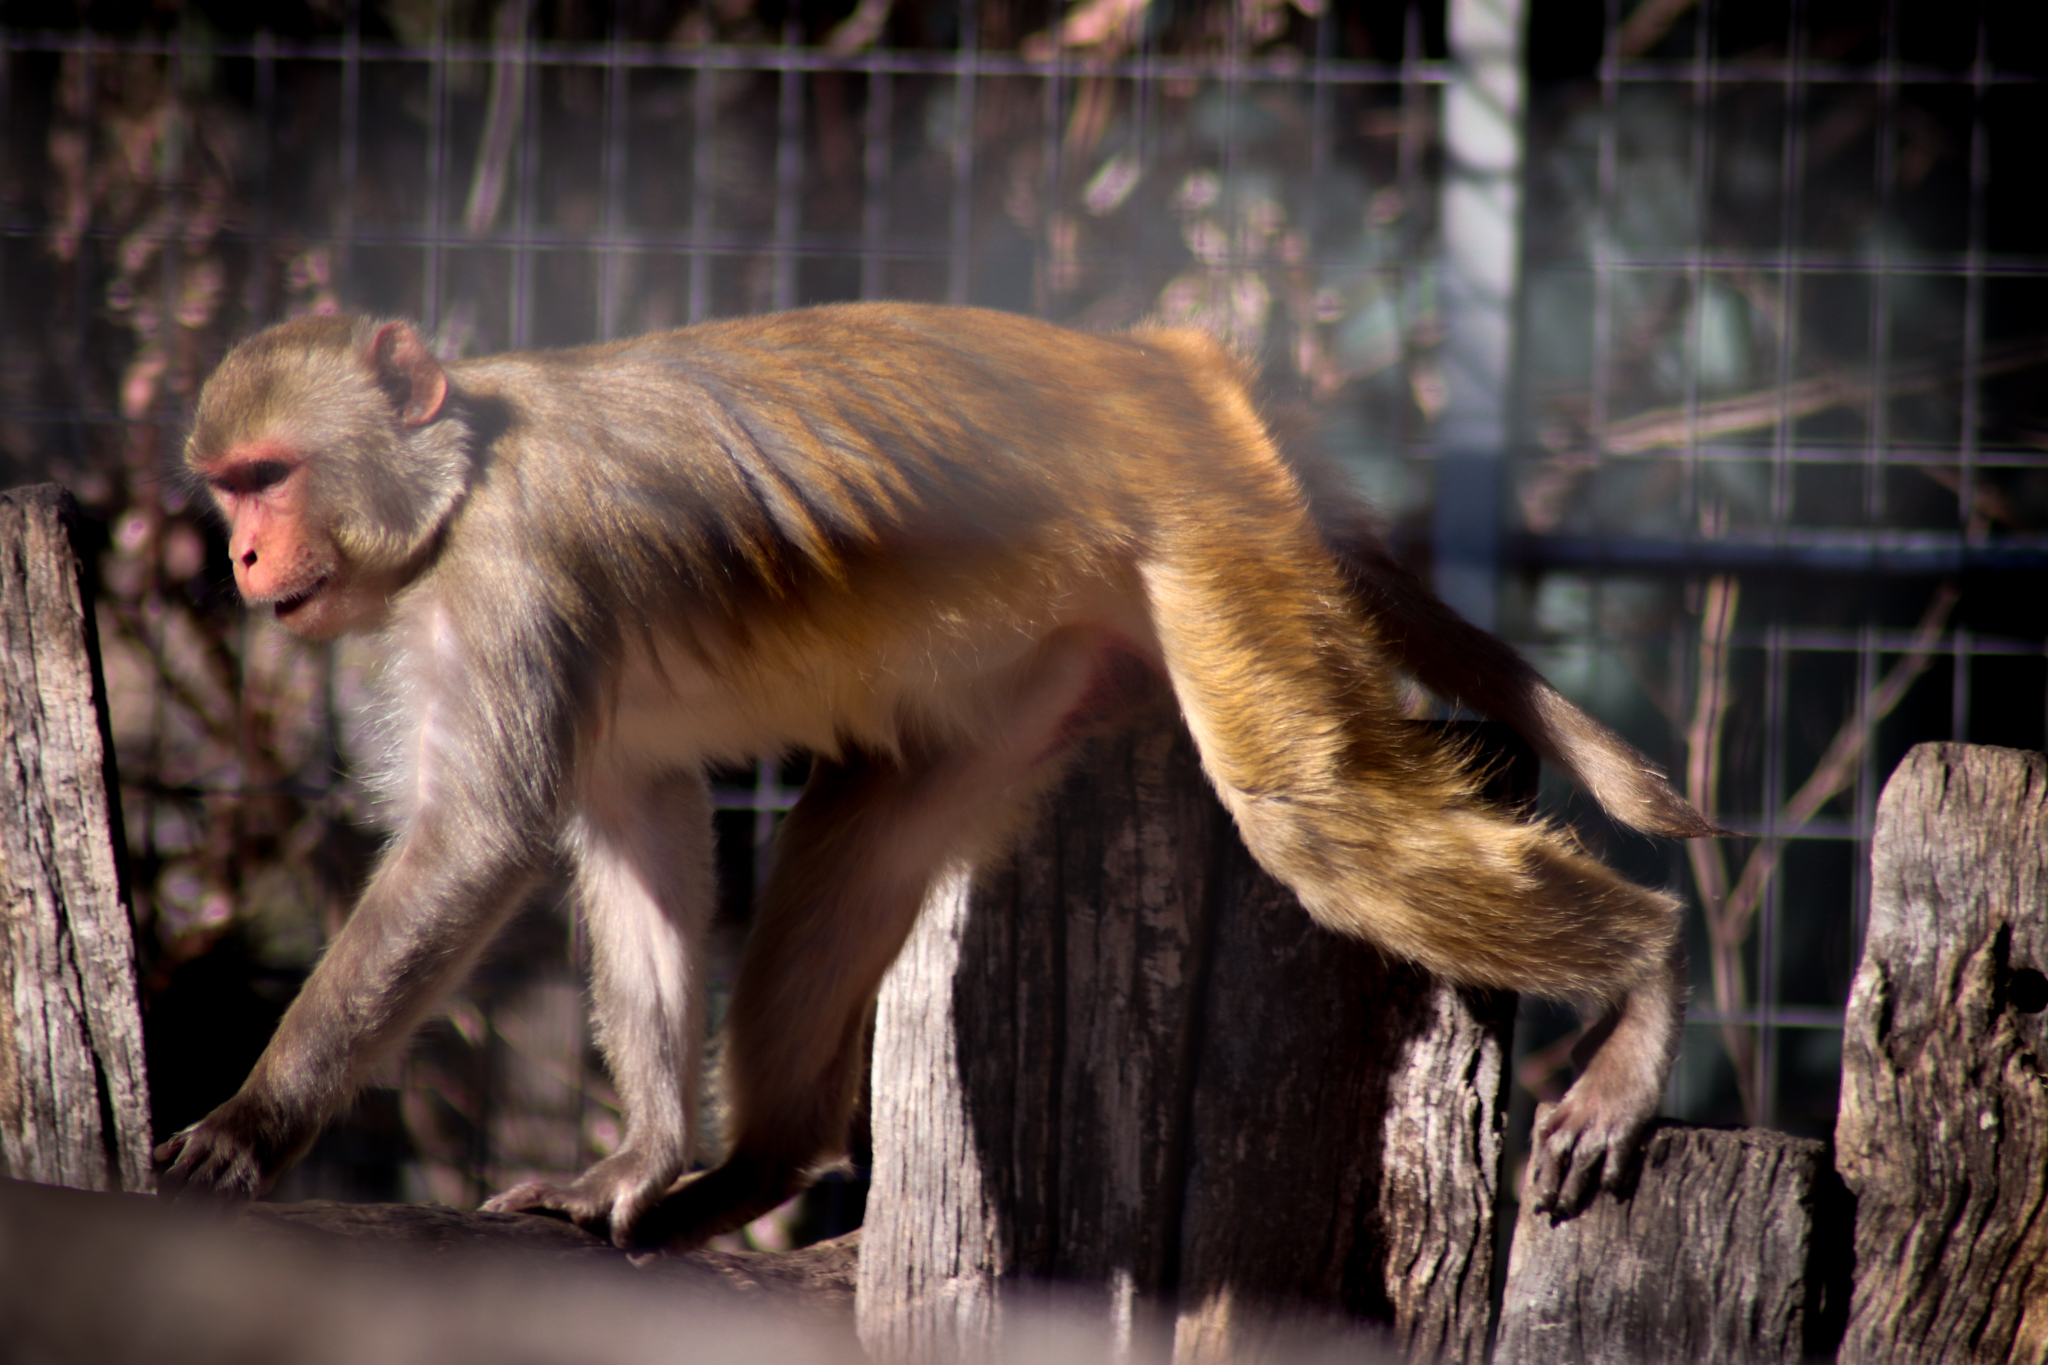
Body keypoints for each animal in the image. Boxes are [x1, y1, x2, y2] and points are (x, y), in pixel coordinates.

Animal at [157, 302, 1715, 1247]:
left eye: (270, 475)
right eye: (228, 489)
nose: (240, 555)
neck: (462, 474)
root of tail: (1157, 360)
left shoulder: (515, 576)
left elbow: (479, 841)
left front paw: (254, 1122)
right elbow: (636, 814)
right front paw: (642, 1157)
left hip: (1207, 517)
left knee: (1312, 820)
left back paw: (1643, 973)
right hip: (1062, 651)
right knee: (861, 840)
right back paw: (756, 1168)